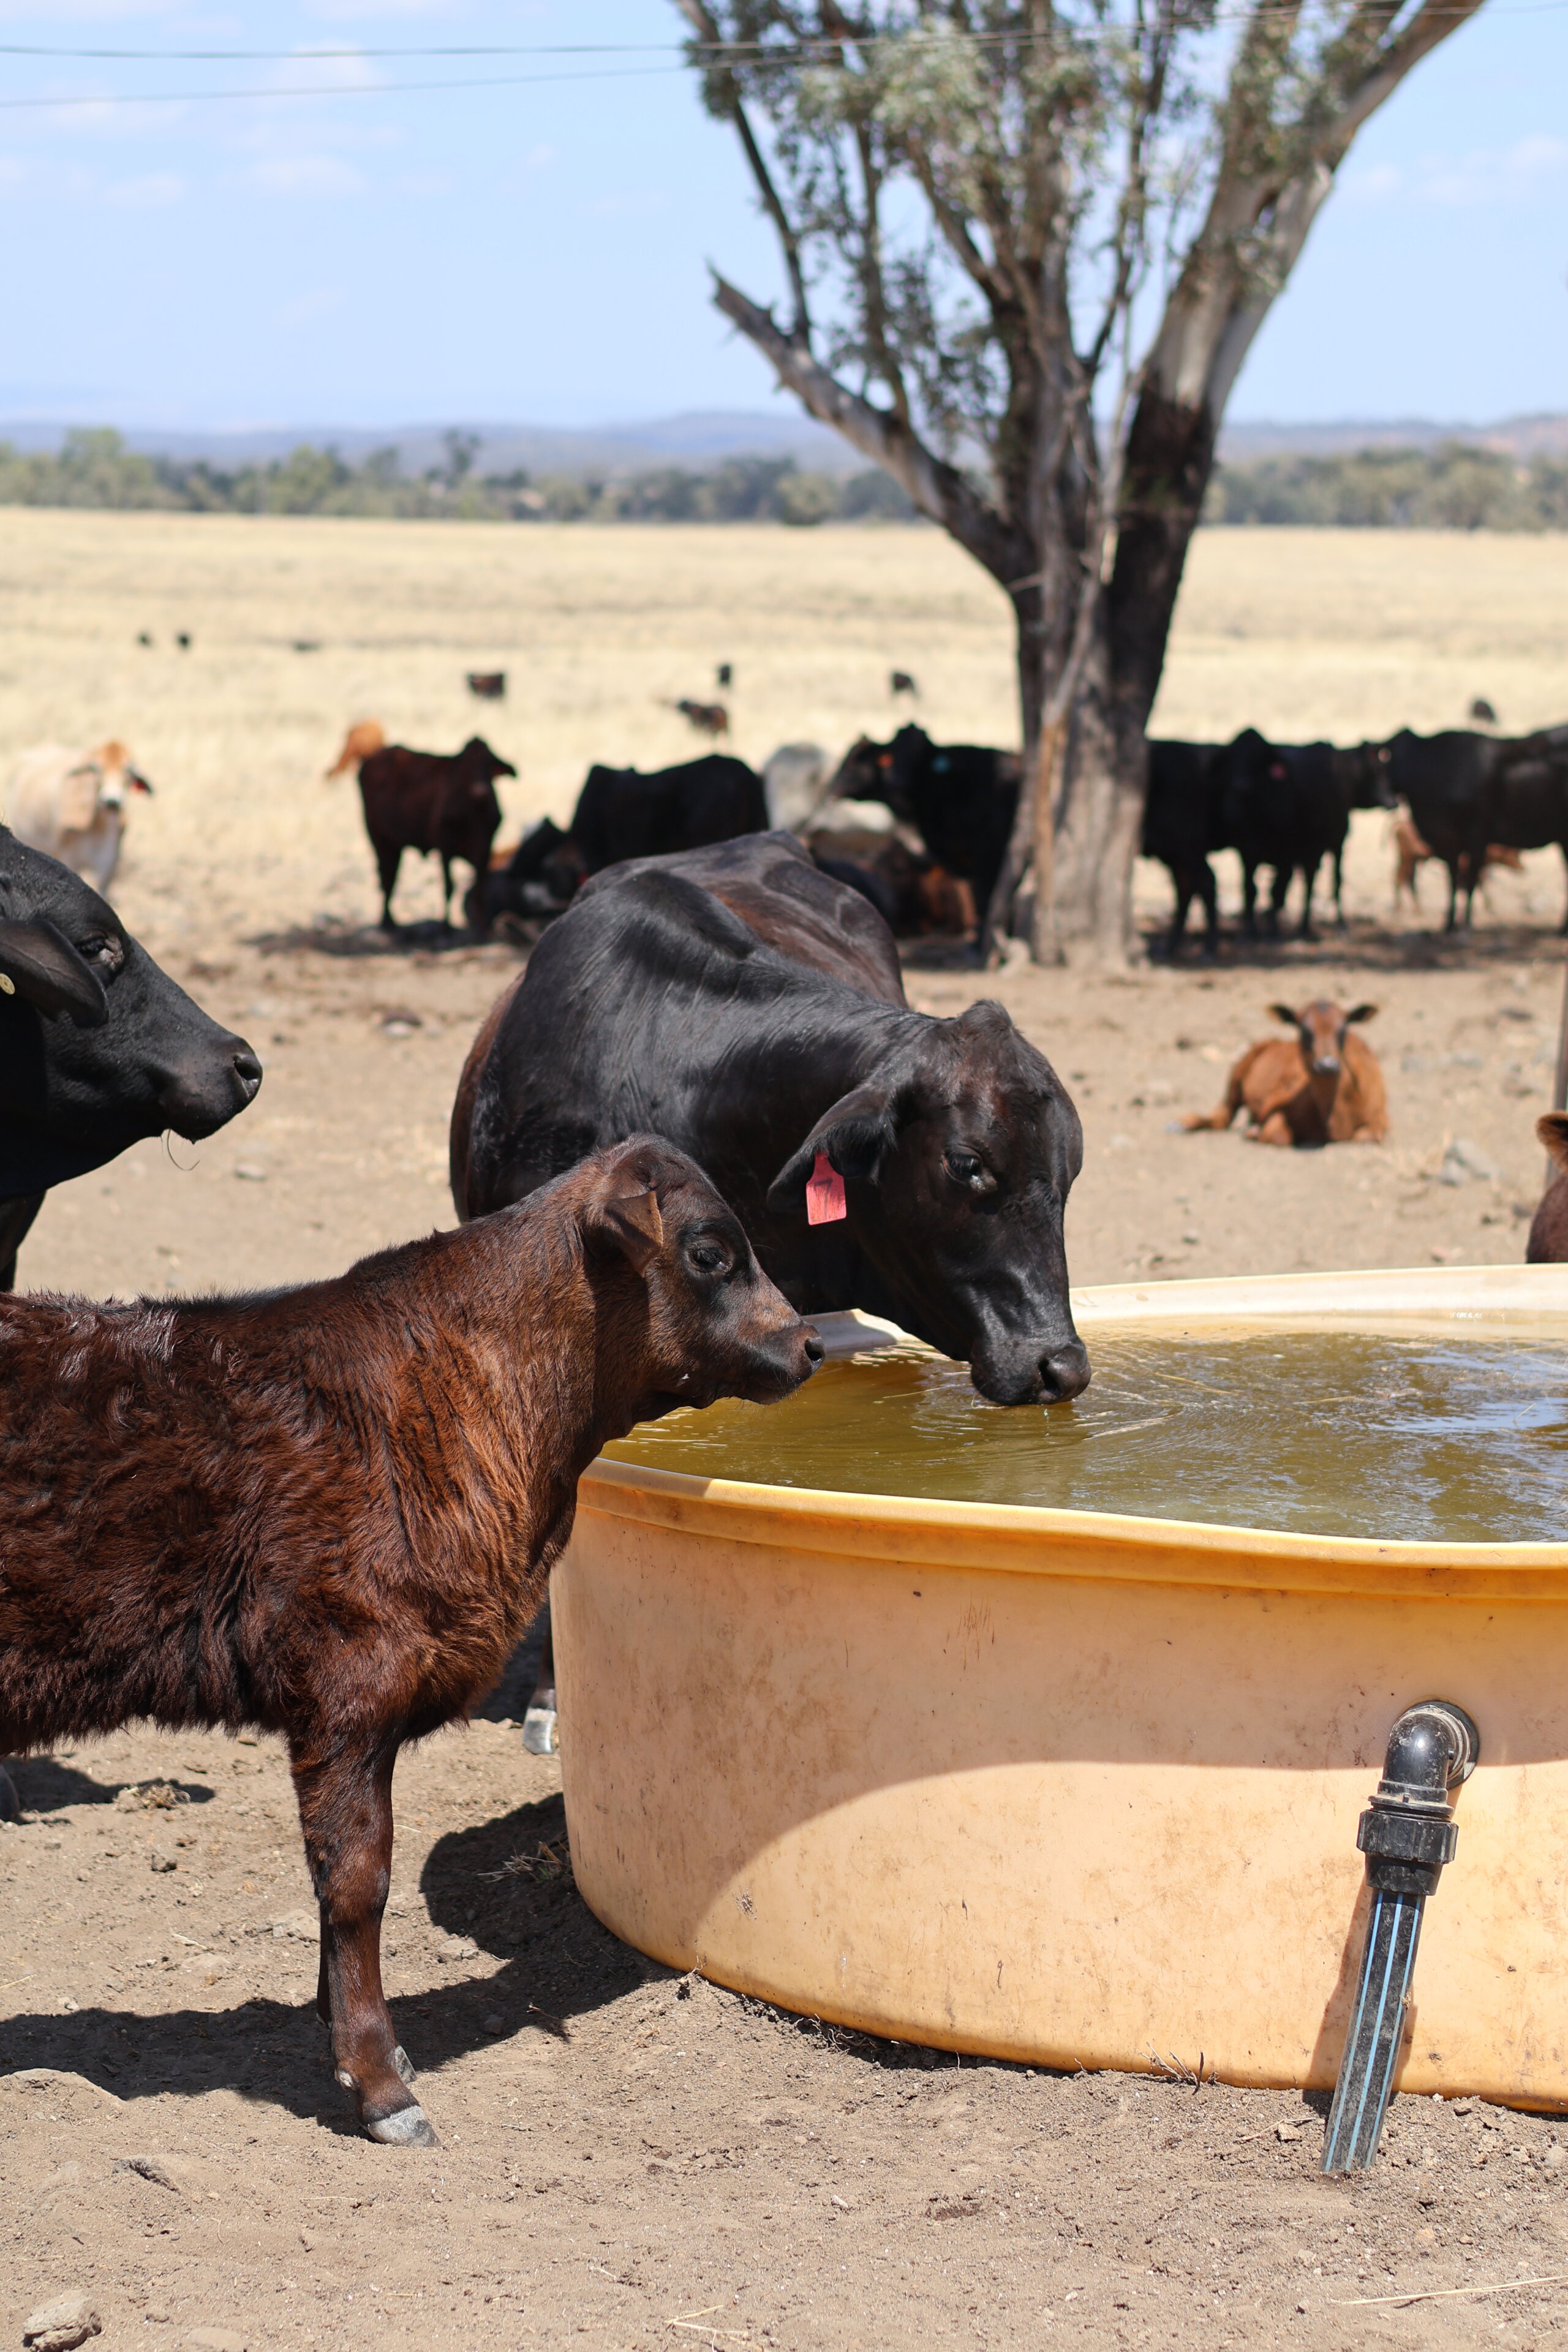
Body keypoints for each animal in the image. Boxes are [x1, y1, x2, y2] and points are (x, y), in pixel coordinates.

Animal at [0, 1135, 821, 2144]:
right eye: (710, 1252)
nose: (807, 1343)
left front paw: (366, 2047)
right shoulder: (348, 1684)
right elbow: (359, 1881)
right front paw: (378, 2082)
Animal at [7, 741, 154, 898]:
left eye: (128, 770)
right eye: (96, 769)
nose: (112, 801)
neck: (96, 828)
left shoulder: (108, 866)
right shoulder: (71, 860)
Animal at [350, 737, 516, 932]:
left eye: (489, 764)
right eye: (465, 768)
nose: (480, 790)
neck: (475, 812)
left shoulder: (485, 847)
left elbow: (481, 883)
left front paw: (482, 925)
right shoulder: (444, 845)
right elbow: (449, 886)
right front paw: (445, 927)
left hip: (394, 845)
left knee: (389, 876)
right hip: (378, 838)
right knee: (387, 877)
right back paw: (388, 923)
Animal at [1182, 1001, 1386, 1148]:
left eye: (1343, 1030)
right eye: (1304, 1032)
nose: (1327, 1065)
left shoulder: (1380, 1122)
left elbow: (1367, 1135)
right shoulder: (1278, 1110)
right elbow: (1277, 1135)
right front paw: (1253, 1133)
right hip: (1238, 1074)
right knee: (1224, 1114)